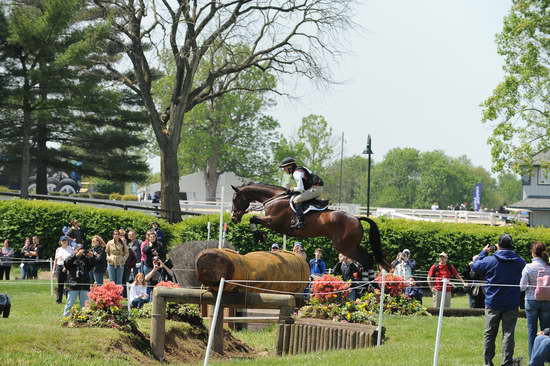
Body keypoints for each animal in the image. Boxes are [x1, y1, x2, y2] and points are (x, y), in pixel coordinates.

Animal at [231, 182, 390, 270]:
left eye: (235, 199)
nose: (233, 218)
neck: (274, 198)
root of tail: (356, 218)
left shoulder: (273, 222)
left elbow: (253, 218)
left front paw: (258, 236)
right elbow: (253, 219)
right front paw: (259, 236)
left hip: (345, 247)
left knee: (365, 260)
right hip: (352, 245)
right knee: (368, 258)